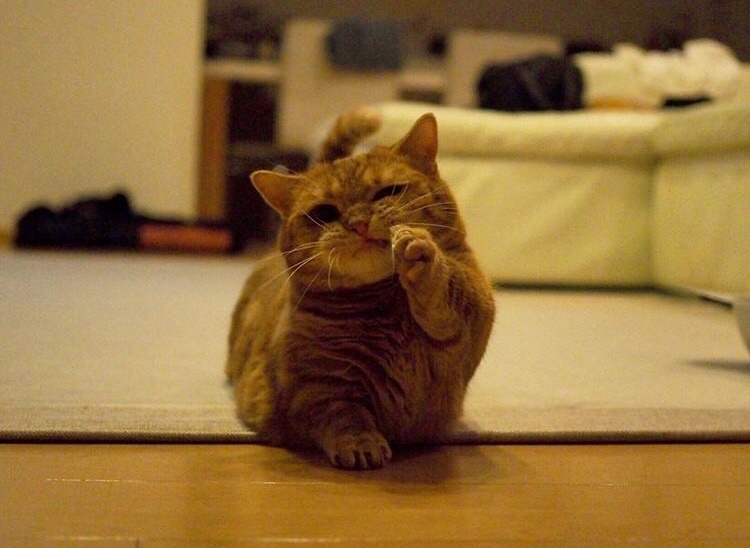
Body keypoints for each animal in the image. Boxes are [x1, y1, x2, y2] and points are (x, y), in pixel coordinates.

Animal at [226, 108, 495, 469]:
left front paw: (421, 258)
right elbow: (344, 415)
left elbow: (450, 292)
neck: (382, 308)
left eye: (387, 192)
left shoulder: (473, 314)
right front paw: (360, 444)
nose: (358, 223)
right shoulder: (321, 384)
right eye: (324, 212)